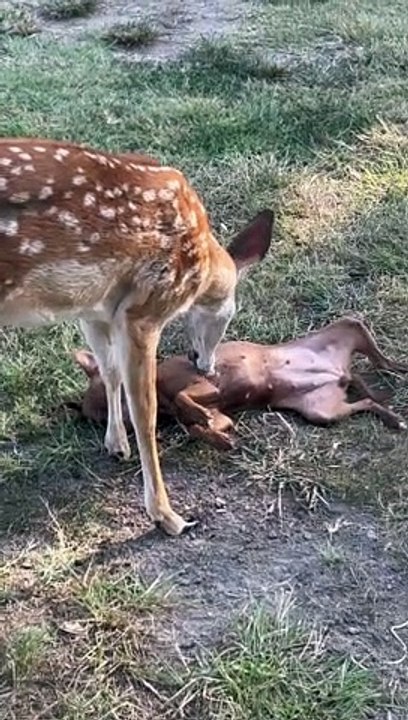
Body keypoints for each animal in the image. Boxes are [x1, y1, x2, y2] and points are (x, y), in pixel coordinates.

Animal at [0, 138, 274, 535]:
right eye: (230, 313)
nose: (205, 366)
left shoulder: (94, 309)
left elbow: (108, 370)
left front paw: (116, 444)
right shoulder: (143, 311)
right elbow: (147, 412)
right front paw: (167, 516)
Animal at [71, 317, 407, 449]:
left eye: (115, 395)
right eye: (102, 419)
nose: (125, 424)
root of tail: (340, 373)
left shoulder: (205, 384)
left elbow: (184, 399)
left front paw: (197, 415)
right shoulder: (221, 415)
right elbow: (196, 426)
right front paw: (219, 439)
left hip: (347, 327)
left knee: (382, 360)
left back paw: (400, 371)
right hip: (323, 413)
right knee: (366, 400)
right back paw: (392, 417)